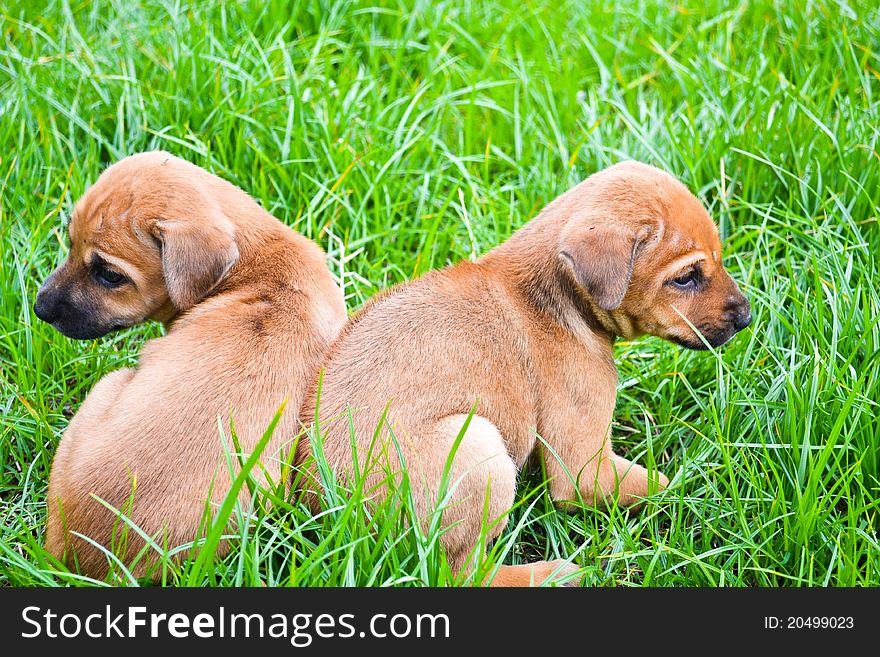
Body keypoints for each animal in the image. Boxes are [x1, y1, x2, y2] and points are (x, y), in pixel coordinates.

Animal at [298, 161, 748, 588]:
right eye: (685, 278)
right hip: (479, 448)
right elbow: (665, 483)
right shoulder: (584, 471)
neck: (555, 299)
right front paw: (707, 489)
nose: (746, 316)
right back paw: (554, 574)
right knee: (464, 574)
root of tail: (331, 515)